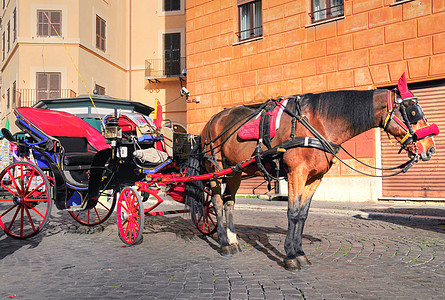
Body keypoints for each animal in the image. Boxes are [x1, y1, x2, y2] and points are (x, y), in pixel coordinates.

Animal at [184, 74, 438, 270]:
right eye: (413, 112)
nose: (430, 148)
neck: (317, 122)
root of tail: (211, 121)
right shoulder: (296, 173)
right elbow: (293, 213)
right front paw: (289, 256)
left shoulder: (315, 178)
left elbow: (303, 215)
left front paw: (299, 252)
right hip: (215, 169)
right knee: (217, 202)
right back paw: (224, 243)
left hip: (236, 171)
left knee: (229, 203)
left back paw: (233, 239)